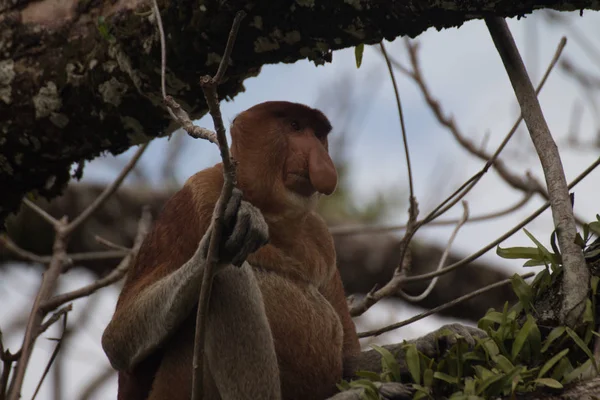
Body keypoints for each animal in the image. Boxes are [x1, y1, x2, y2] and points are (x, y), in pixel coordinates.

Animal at [103, 101, 360, 398]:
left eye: (318, 135)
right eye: (295, 126)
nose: (321, 159)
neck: (272, 214)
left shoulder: (322, 237)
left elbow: (351, 359)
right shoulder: (197, 195)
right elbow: (116, 341)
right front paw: (224, 236)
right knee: (227, 278)